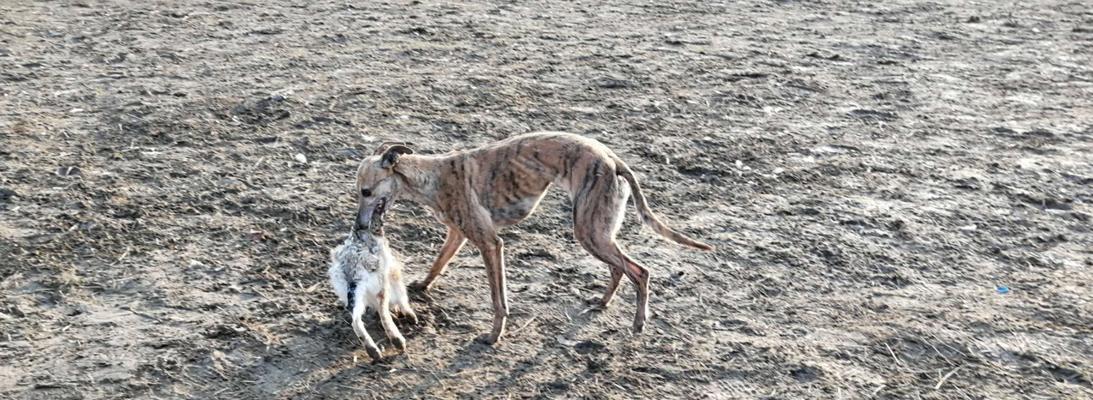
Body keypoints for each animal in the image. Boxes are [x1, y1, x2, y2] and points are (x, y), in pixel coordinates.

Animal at [354, 131, 712, 343]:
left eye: (366, 191)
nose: (358, 228)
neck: (432, 176)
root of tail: (612, 159)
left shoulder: (490, 243)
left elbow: (499, 301)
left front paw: (493, 336)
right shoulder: (457, 234)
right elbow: (438, 263)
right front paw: (423, 286)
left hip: (589, 231)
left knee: (640, 271)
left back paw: (638, 323)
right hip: (597, 232)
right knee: (619, 268)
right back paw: (602, 302)